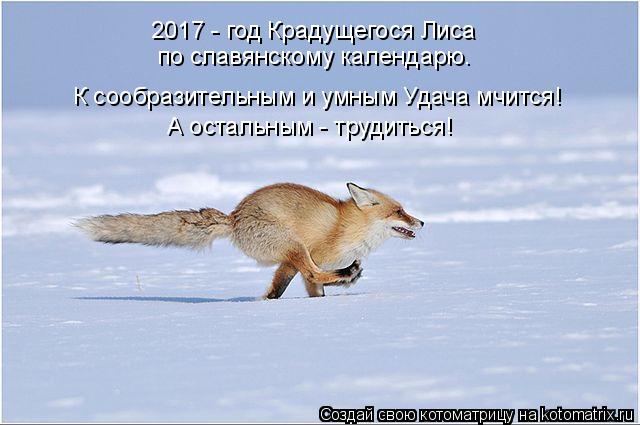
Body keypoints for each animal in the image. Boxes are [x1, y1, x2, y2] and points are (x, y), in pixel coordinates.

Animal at [76, 182, 424, 299]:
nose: (421, 222)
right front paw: (345, 275)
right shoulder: (307, 256)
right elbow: (316, 276)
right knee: (316, 271)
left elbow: (293, 290)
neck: (348, 227)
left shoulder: (287, 265)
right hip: (293, 244)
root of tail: (234, 217)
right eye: (400, 211)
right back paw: (349, 274)